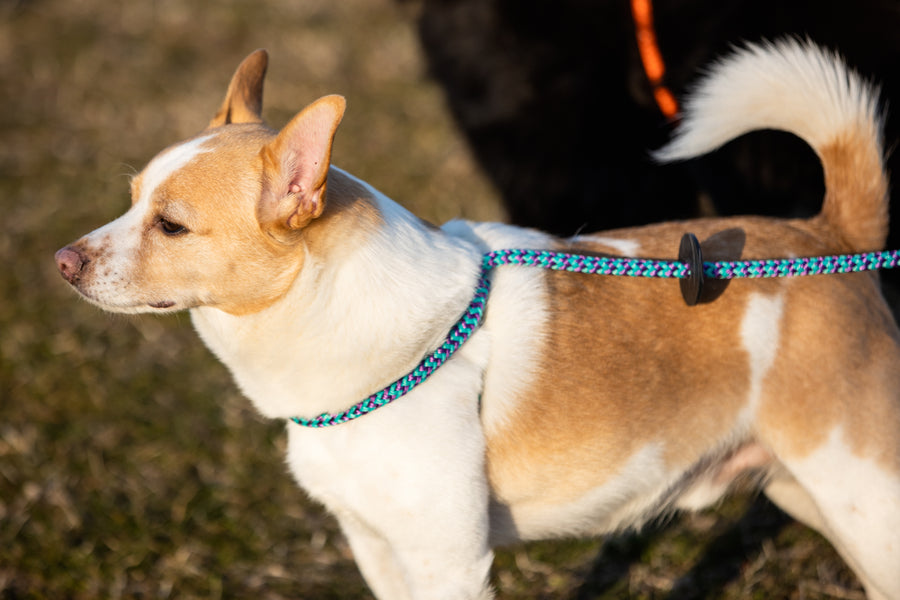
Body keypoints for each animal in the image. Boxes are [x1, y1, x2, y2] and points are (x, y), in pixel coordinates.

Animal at [56, 39, 900, 596]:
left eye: (171, 226)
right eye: (131, 198)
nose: (62, 261)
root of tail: (828, 238)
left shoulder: (448, 561)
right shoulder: (375, 545)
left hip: (864, 494)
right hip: (807, 491)